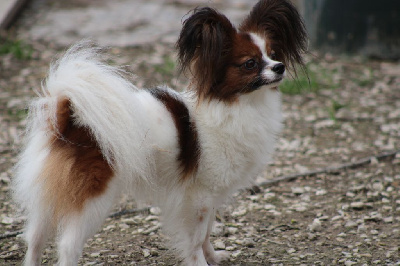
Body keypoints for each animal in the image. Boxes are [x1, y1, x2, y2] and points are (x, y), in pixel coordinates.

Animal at [12, 0, 306, 264]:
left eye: (273, 53)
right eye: (250, 63)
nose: (279, 67)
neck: (237, 105)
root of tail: (69, 121)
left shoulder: (209, 198)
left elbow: (207, 234)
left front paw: (214, 257)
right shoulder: (198, 198)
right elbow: (196, 240)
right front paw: (200, 263)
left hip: (48, 196)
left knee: (34, 239)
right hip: (94, 200)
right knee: (67, 246)